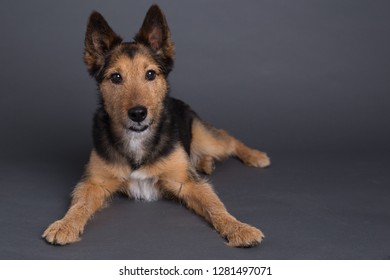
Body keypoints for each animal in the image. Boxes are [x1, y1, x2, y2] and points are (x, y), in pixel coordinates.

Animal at [42, 4, 268, 247]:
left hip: (204, 137)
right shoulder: (94, 182)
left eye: (150, 74)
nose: (138, 114)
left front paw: (238, 227)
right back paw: (205, 163)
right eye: (116, 77)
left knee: (228, 139)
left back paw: (254, 156)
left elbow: (214, 204)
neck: (137, 140)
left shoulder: (187, 182)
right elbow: (79, 204)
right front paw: (65, 224)